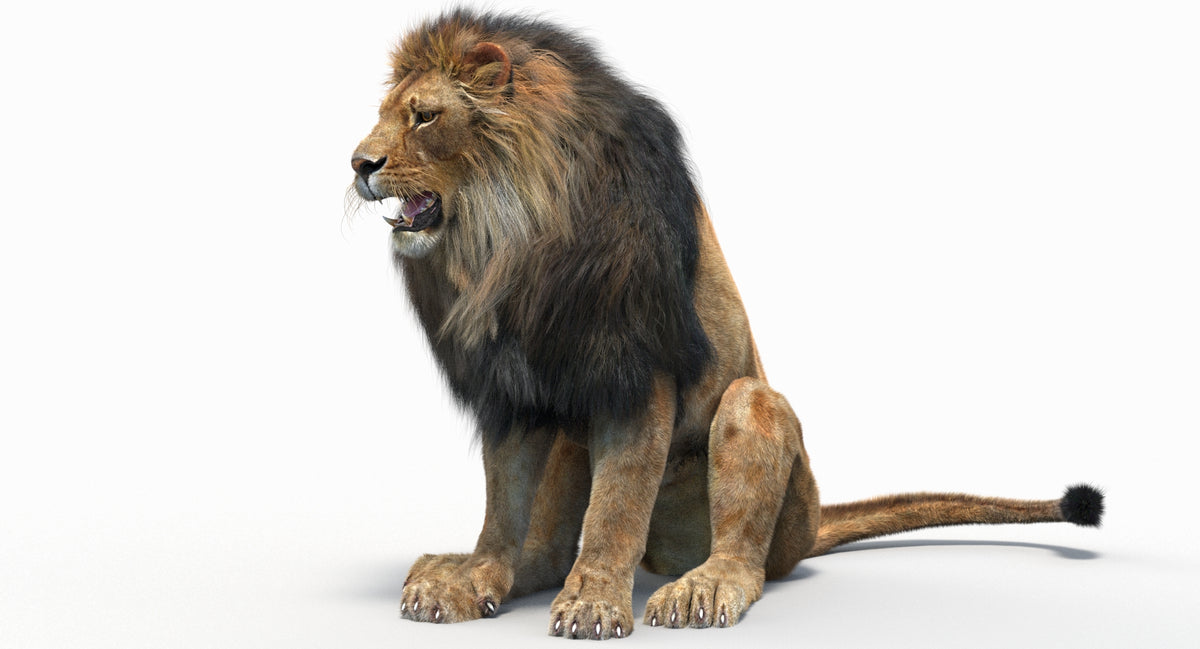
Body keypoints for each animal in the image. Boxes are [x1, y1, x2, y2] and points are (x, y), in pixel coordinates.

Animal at [349, 9, 1104, 640]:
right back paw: (457, 568)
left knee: (746, 551)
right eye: (383, 115)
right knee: (549, 543)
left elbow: (616, 505)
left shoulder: (639, 371)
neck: (509, 241)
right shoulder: (512, 382)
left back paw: (703, 587)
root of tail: (814, 520)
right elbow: (504, 500)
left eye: (424, 117)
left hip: (753, 416)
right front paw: (473, 575)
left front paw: (593, 602)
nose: (358, 163)